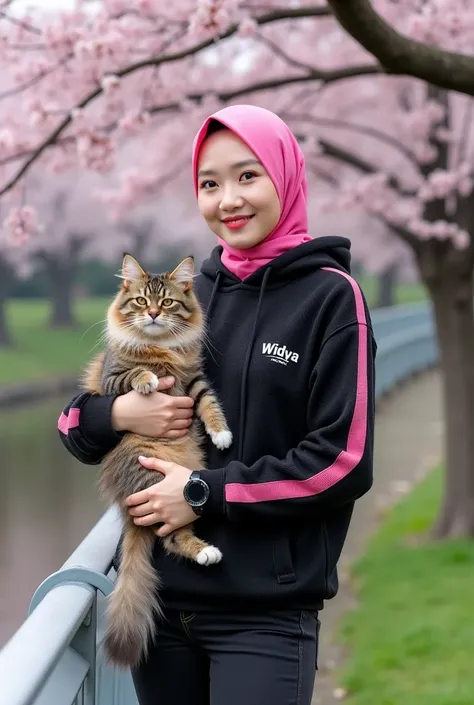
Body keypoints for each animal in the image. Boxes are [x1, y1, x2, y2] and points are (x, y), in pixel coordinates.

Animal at [84, 252, 235, 664]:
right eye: (140, 302)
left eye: (166, 303)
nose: (152, 313)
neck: (159, 347)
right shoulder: (114, 380)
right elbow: (135, 374)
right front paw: (148, 380)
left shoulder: (194, 381)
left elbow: (211, 405)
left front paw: (222, 434)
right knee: (170, 538)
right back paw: (207, 553)